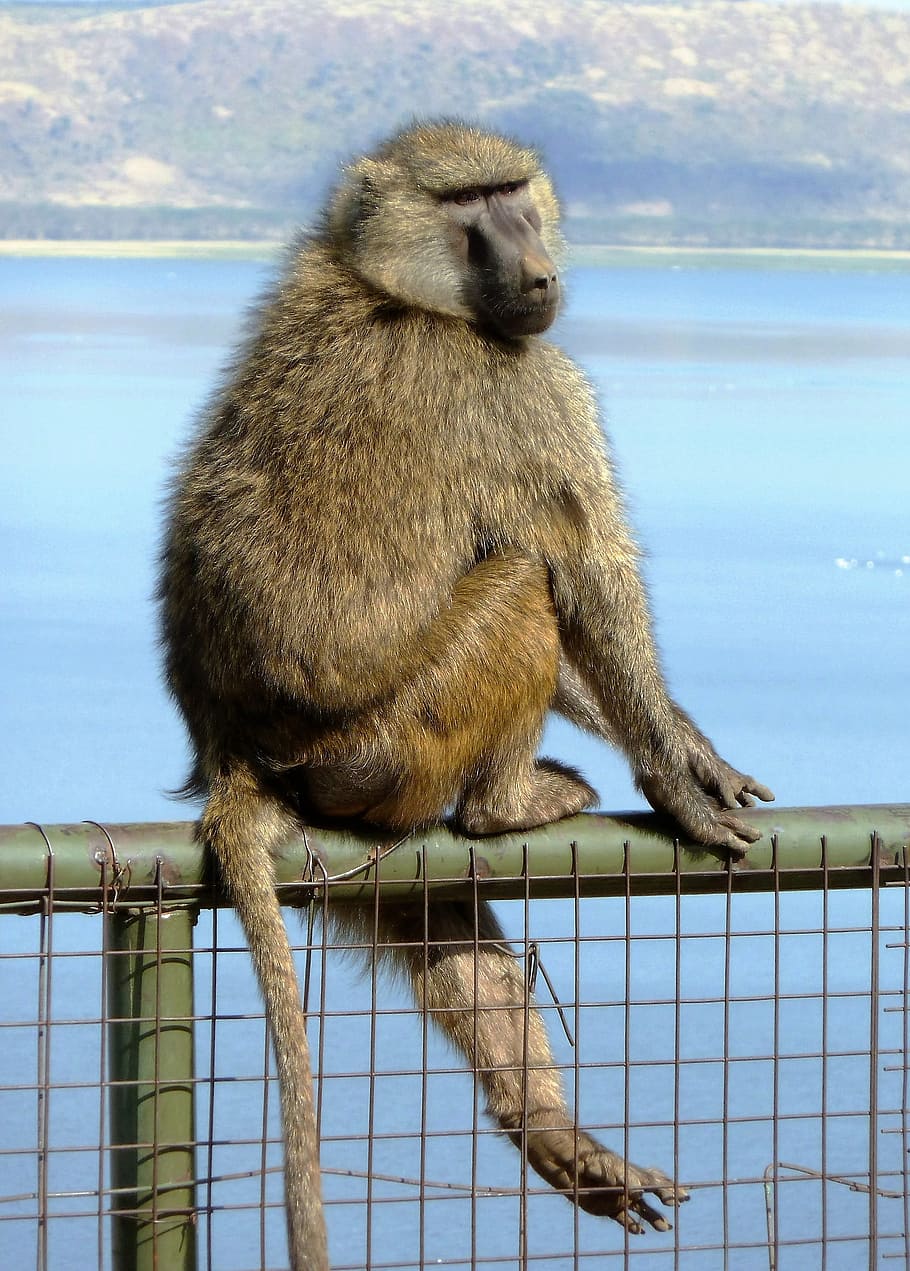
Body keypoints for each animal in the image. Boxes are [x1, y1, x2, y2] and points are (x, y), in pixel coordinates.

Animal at [159, 121, 774, 1270]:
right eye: (468, 208)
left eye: (515, 193)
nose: (538, 273)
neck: (386, 282)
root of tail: (237, 753)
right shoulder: (517, 387)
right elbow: (581, 566)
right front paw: (673, 776)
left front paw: (689, 745)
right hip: (390, 746)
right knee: (522, 584)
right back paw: (507, 803)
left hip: (356, 820)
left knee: (436, 909)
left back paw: (550, 1127)